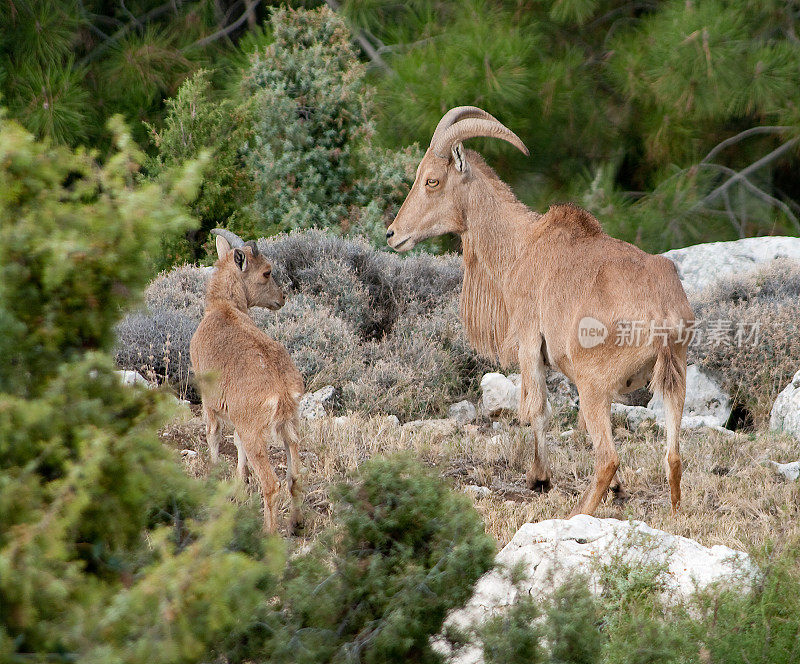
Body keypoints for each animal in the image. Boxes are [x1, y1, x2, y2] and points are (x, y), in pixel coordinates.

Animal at [191, 230, 306, 536]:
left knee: (272, 483)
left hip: (257, 432)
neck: (224, 308)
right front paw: (240, 485)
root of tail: (282, 390)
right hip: (290, 426)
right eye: (267, 272)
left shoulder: (209, 400)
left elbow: (214, 434)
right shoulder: (238, 416)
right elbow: (236, 442)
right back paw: (296, 524)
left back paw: (269, 533)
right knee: (294, 477)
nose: (282, 298)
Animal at [388, 106, 692, 516]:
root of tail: (663, 314)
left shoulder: (529, 343)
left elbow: (537, 409)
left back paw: (578, 513)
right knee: (672, 456)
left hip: (593, 383)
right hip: (675, 377)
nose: (393, 234)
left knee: (607, 457)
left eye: (431, 181)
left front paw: (540, 479)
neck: (520, 245)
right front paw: (618, 491)